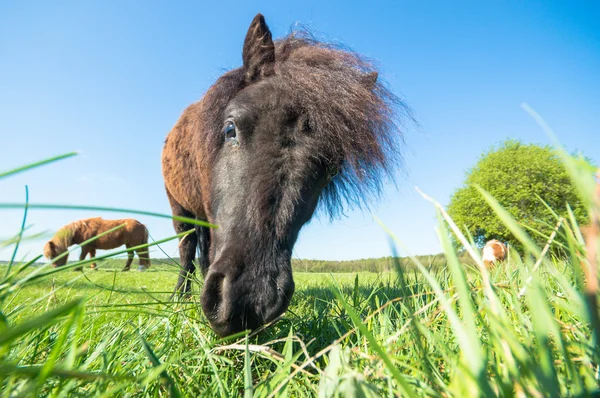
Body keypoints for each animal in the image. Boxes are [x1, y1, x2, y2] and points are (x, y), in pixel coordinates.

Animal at [163, 13, 408, 336]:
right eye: (230, 129)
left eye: (331, 169)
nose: (249, 301)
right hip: (179, 207)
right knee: (187, 249)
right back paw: (179, 296)